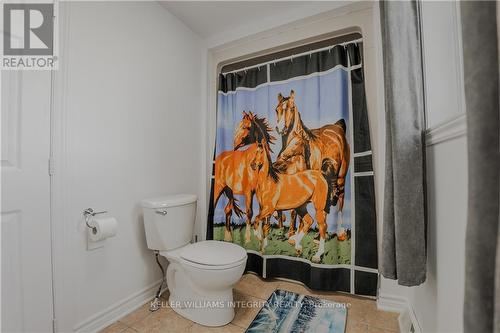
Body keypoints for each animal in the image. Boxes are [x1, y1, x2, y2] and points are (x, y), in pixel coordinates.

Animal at [274, 88, 352, 239]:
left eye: (291, 108)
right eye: (277, 109)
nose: (280, 128)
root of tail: (337, 127)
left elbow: (294, 209)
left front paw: (292, 233)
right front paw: (293, 230)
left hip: (341, 177)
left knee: (341, 198)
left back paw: (340, 233)